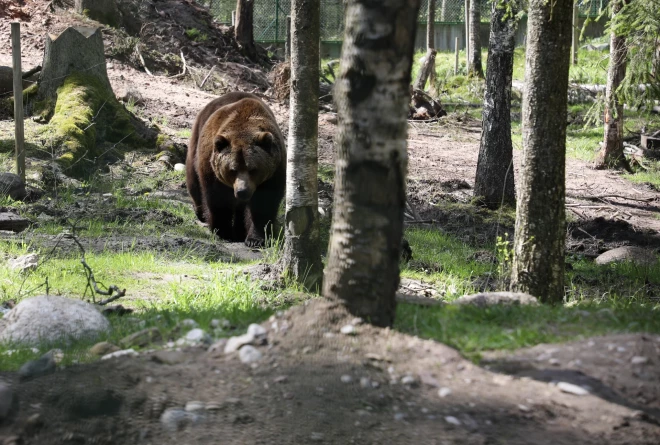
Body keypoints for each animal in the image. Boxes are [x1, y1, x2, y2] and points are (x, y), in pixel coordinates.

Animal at [187, 93, 288, 246]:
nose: (242, 191)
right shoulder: (212, 169)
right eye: (232, 169)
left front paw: (256, 239)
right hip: (196, 142)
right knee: (193, 180)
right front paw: (223, 232)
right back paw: (201, 213)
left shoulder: (273, 172)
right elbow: (218, 198)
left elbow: (263, 204)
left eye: (253, 169)